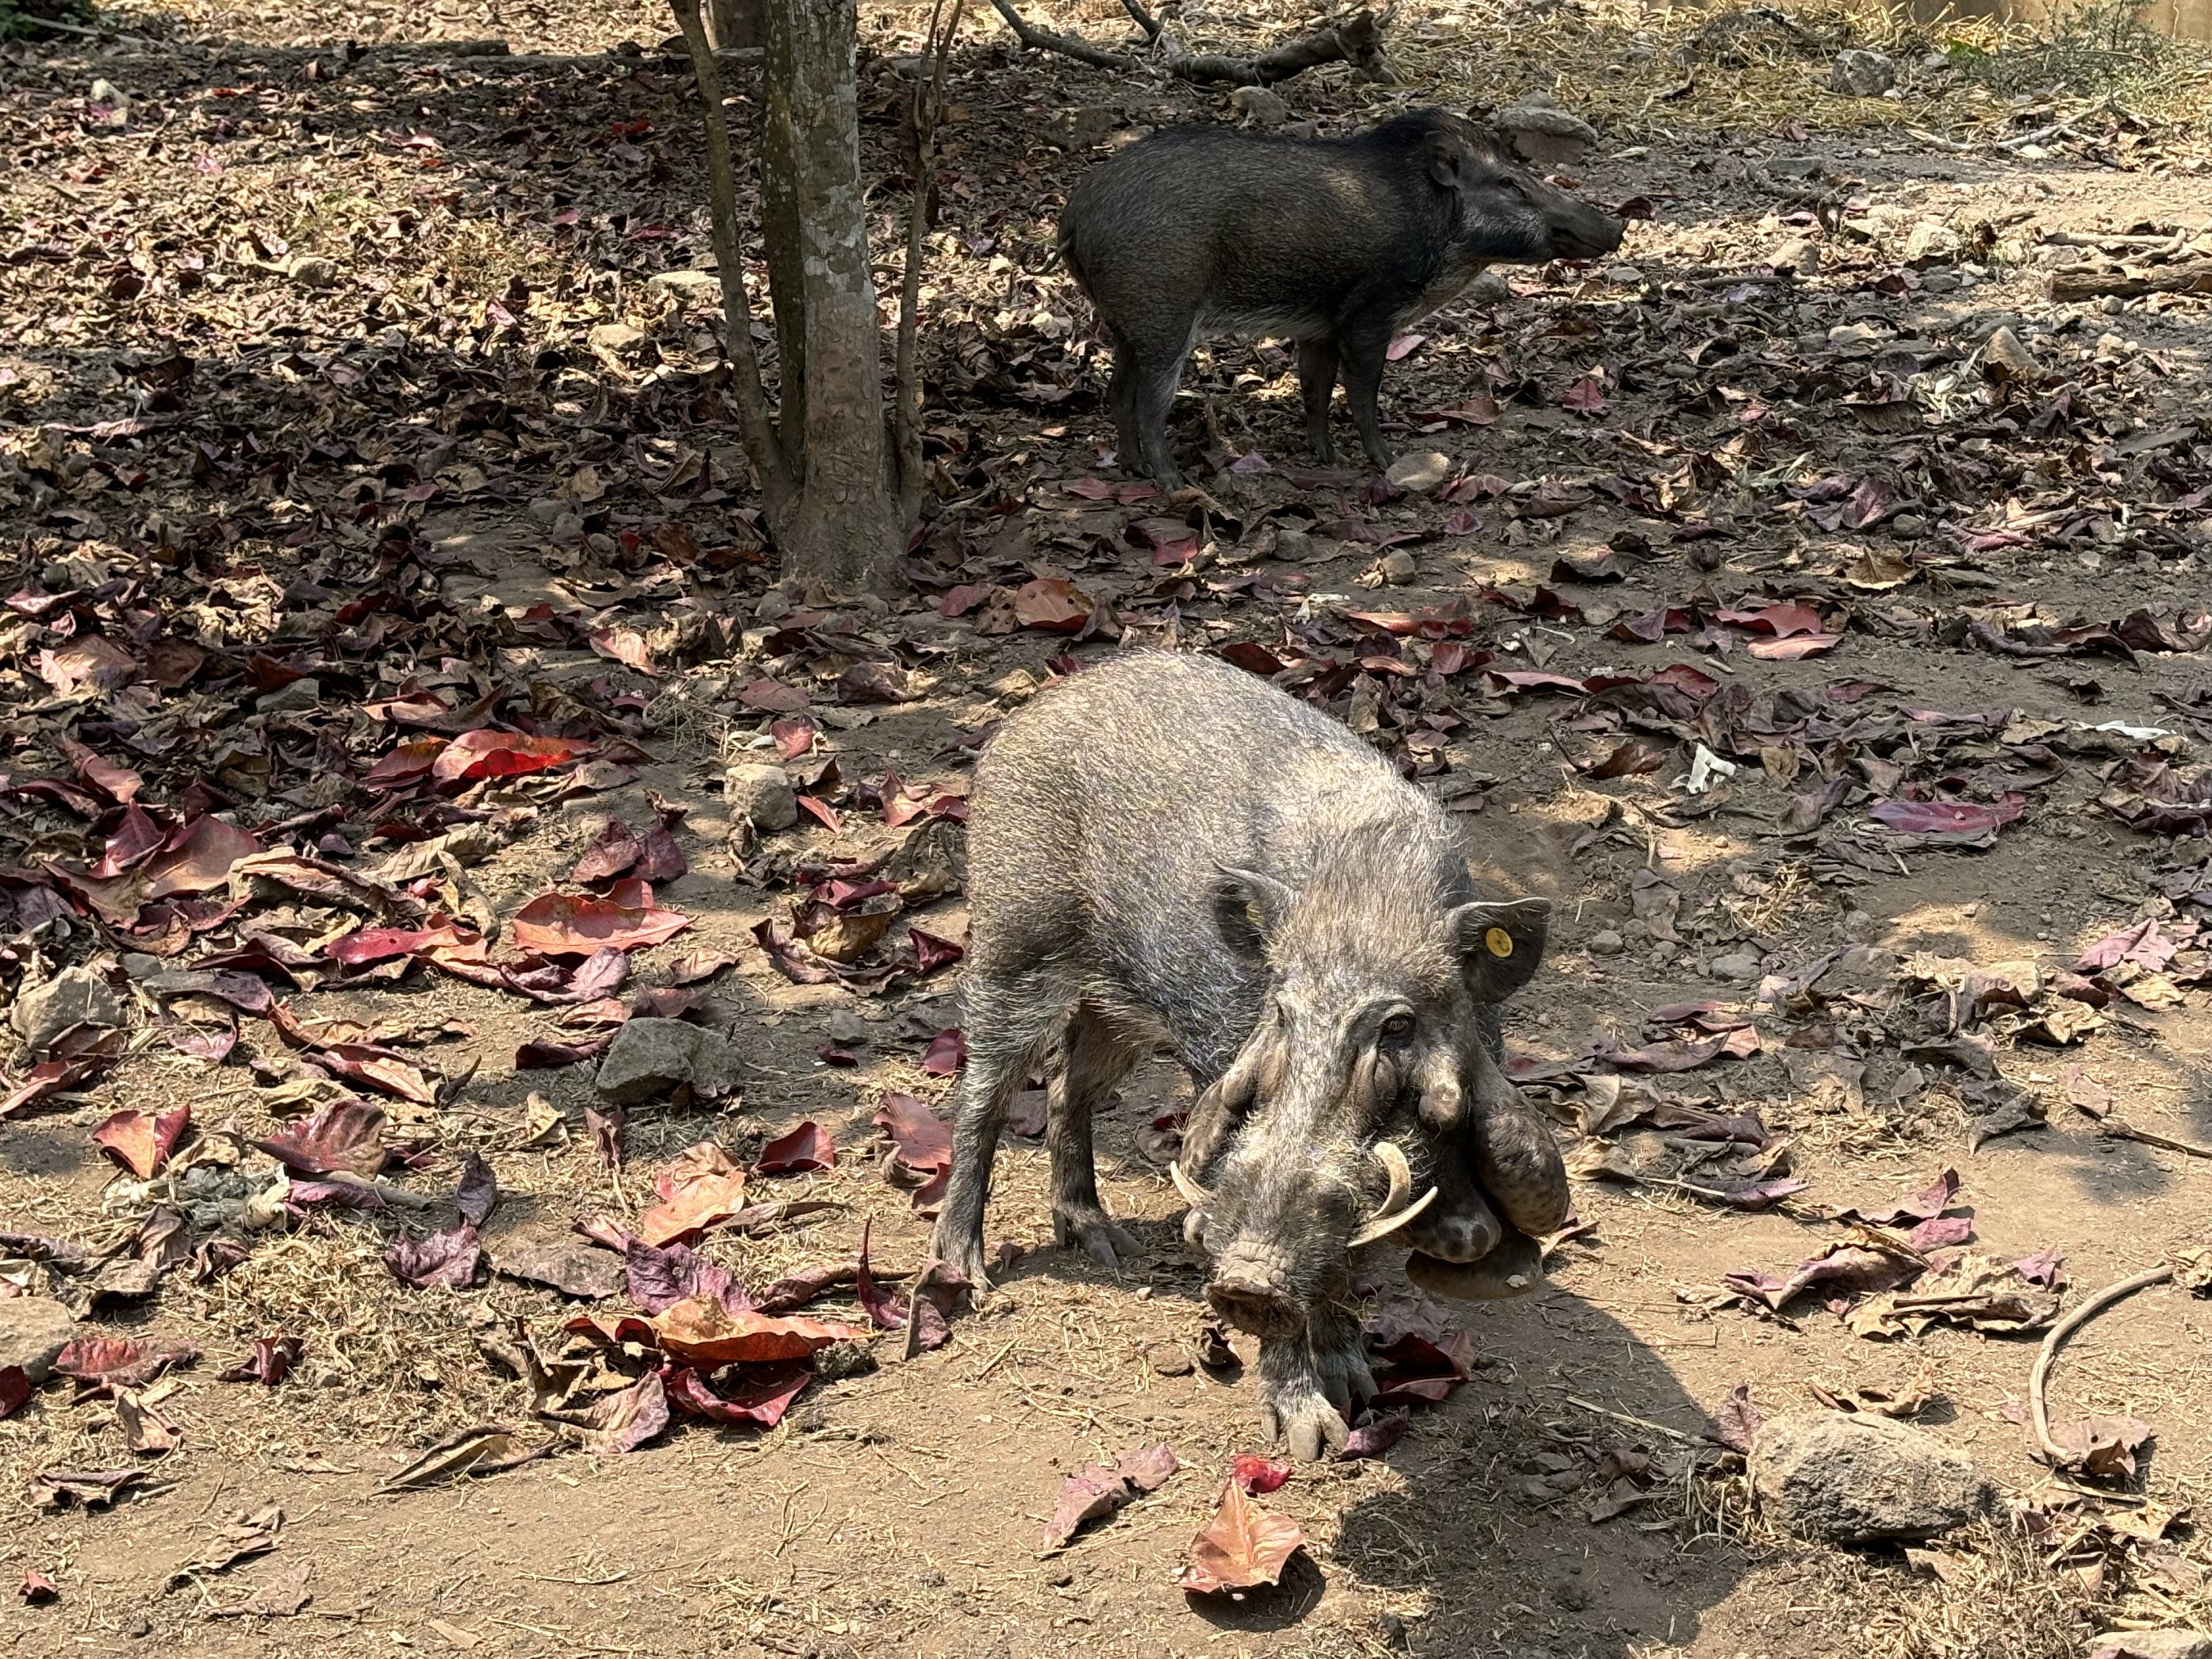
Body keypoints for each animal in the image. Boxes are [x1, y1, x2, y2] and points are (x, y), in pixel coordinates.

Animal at [929, 651, 1568, 1458]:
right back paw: (965, 1274)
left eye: (1400, 1025)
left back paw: (1106, 1244)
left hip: (1119, 1005)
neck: (1367, 898)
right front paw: (1310, 1439)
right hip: (1015, 939)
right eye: (1280, 1010)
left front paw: (1357, 1394)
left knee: (1071, 1087)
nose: (1246, 1282)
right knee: (985, 1091)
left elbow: (1343, 1260)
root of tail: (1038, 704)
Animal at [1057, 107, 1625, 488]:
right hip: (1164, 315)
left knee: (1117, 392)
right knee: (1151, 404)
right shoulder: (1369, 316)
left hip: (1126, 322)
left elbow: (1315, 389)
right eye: (1509, 183)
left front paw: (1326, 458)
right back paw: (1174, 483)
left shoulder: (1318, 328)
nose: (1616, 225)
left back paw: (1132, 467)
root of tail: (1076, 214)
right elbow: (1361, 395)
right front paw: (1388, 461)